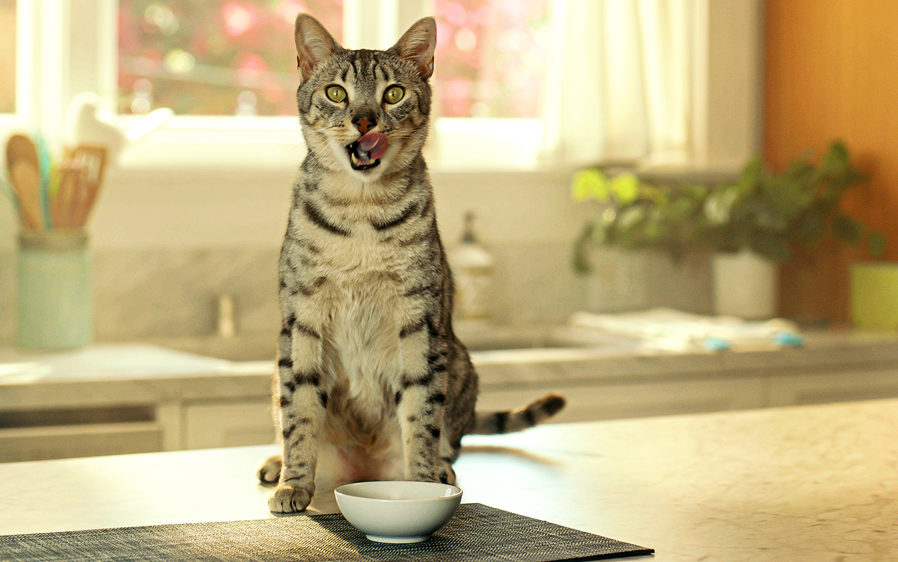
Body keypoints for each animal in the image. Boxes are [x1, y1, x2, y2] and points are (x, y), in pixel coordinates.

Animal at [256, 13, 564, 512]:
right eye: (336, 93)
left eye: (394, 93)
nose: (364, 119)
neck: (360, 211)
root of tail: (361, 466)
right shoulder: (302, 319)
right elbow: (299, 412)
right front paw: (294, 484)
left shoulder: (420, 319)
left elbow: (421, 415)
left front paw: (421, 484)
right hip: (275, 366)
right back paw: (275, 463)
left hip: (459, 361)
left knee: (450, 438)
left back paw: (440, 469)